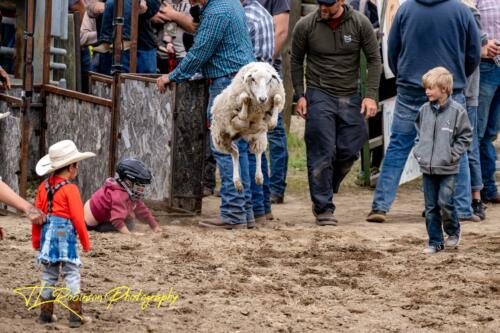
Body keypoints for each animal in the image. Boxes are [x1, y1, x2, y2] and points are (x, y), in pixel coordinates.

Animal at [210, 61, 286, 192]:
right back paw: (237, 182)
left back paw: (258, 177)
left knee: (257, 152)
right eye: (253, 79)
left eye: (269, 81)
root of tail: (239, 135)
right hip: (221, 138)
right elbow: (244, 99)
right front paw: (243, 114)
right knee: (235, 153)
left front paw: (272, 122)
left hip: (258, 135)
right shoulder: (238, 110)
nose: (263, 98)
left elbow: (277, 99)